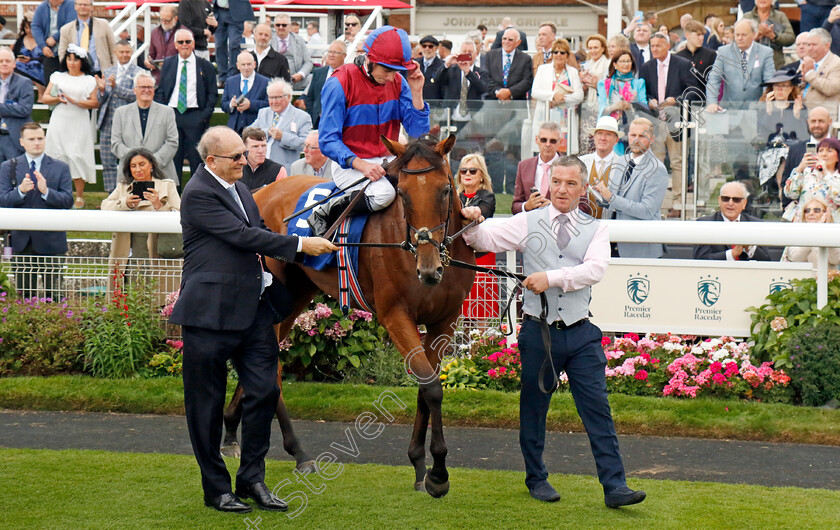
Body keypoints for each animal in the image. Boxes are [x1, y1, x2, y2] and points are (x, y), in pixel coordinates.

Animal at [221, 133, 472, 496]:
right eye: (403, 193)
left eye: (445, 189)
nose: (429, 269)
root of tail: (255, 193)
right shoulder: (395, 315)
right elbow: (430, 386)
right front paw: (438, 474)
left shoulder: (445, 320)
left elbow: (427, 388)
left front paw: (419, 465)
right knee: (273, 370)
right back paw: (299, 453)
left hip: (295, 295)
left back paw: (232, 431)